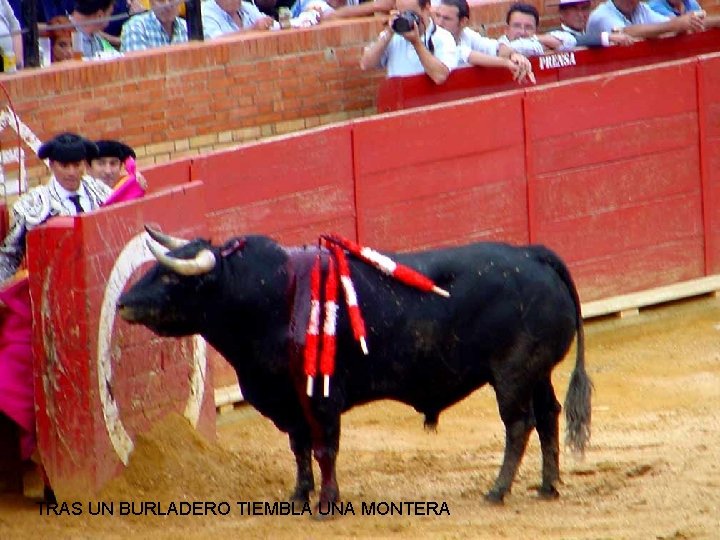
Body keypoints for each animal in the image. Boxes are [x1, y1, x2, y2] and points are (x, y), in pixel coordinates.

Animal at [116, 228, 592, 506]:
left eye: (171, 277)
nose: (122, 302)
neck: (270, 295)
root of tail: (531, 254)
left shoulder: (321, 396)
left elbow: (325, 447)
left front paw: (326, 505)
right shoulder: (289, 401)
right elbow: (300, 449)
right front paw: (298, 497)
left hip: (512, 374)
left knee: (519, 424)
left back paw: (497, 491)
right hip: (536, 372)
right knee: (549, 415)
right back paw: (548, 486)